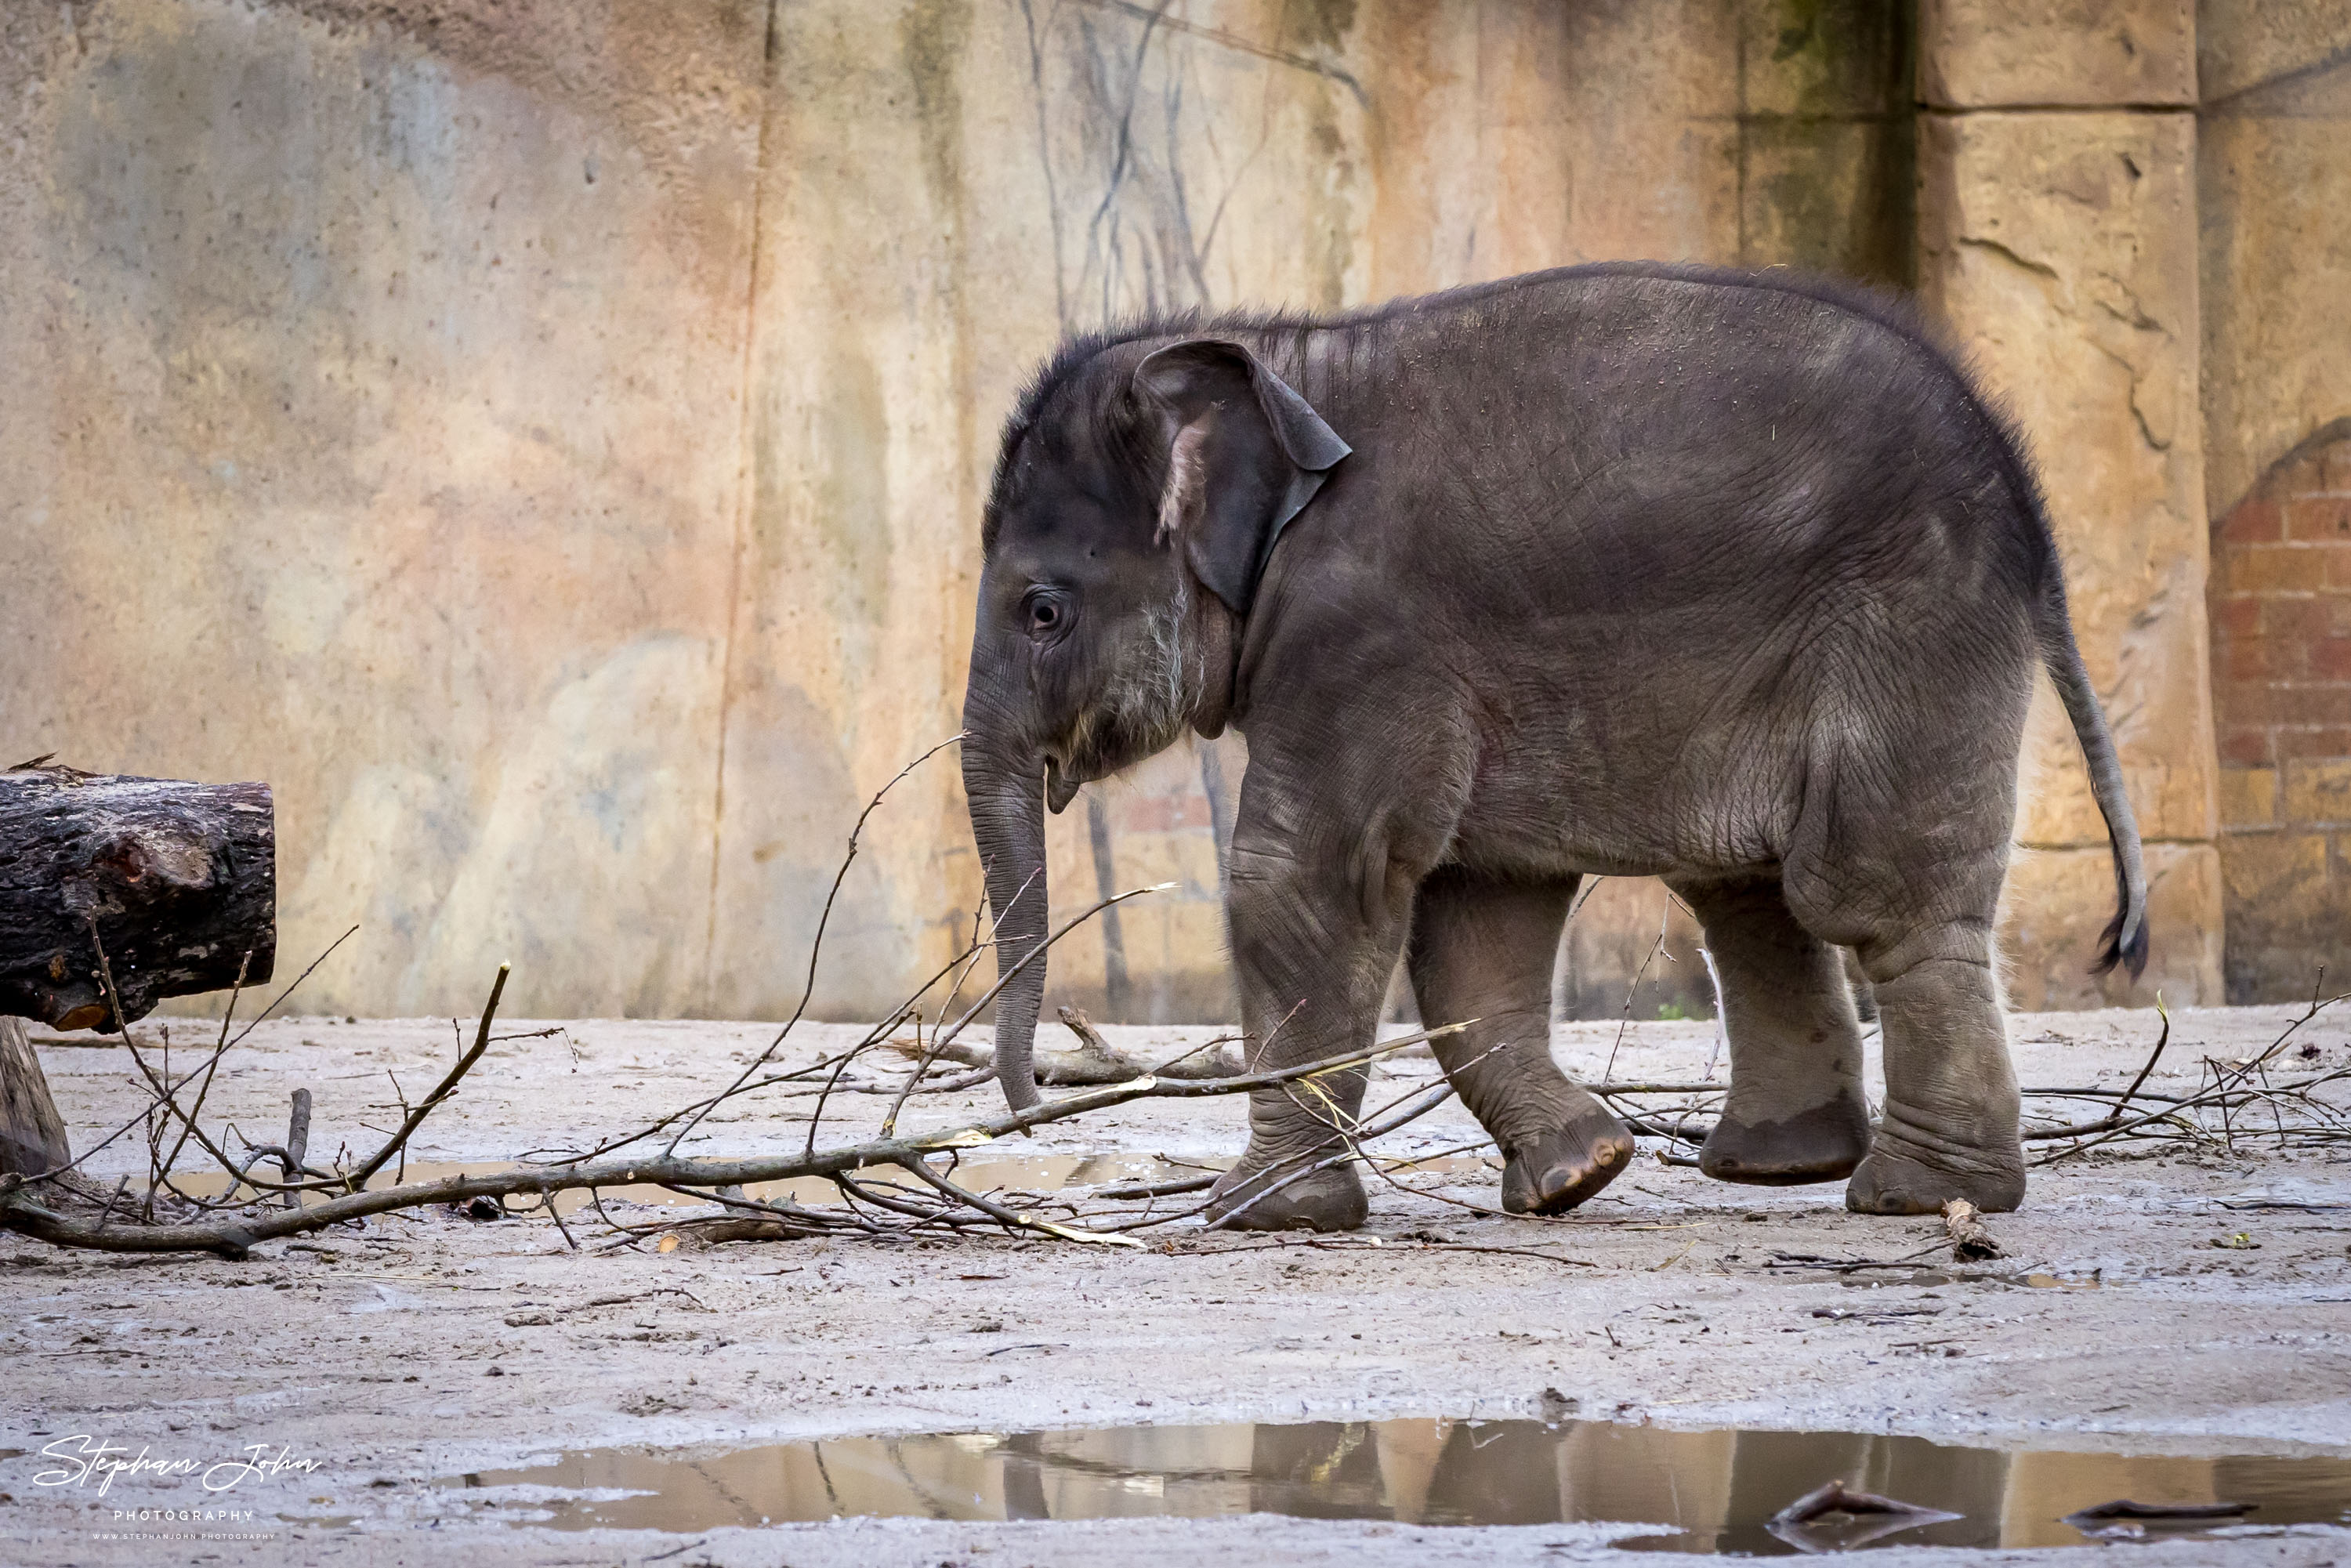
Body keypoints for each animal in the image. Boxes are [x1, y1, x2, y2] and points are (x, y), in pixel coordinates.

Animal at [959, 263, 2154, 1232]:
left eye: (1042, 612)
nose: (1029, 1108)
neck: (1280, 358)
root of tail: (2031, 503)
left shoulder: (1365, 636)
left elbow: (1305, 875)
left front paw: (1257, 1215)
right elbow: (1475, 915)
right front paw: (1580, 1173)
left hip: (1911, 626)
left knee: (1873, 896)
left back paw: (1916, 1194)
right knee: (1748, 886)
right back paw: (1783, 1167)